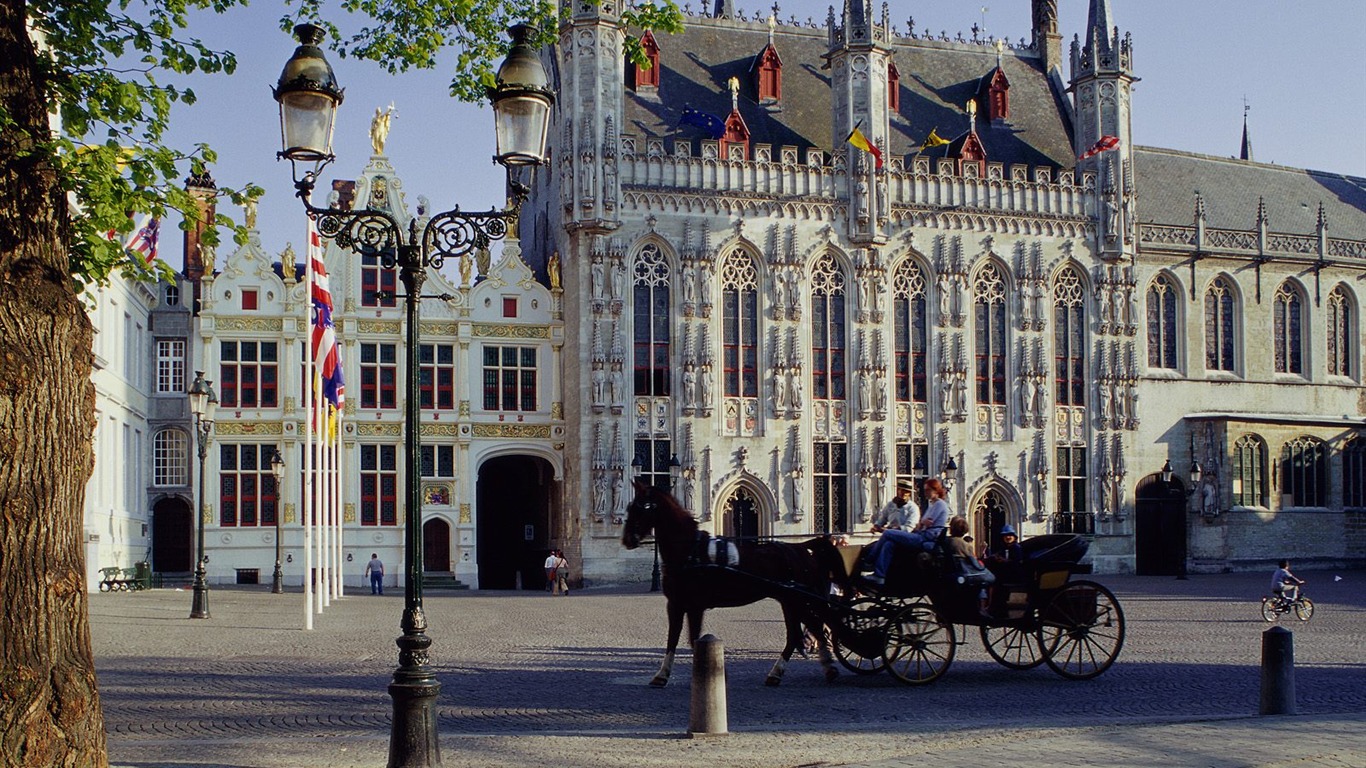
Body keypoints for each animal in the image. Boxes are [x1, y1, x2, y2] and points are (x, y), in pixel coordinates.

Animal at [622, 481, 841, 683]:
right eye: (629, 507)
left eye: (641, 508)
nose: (626, 540)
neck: (690, 551)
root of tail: (803, 548)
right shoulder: (677, 604)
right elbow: (675, 638)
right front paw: (663, 675)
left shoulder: (692, 605)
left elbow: (690, 639)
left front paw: (716, 673)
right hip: (790, 601)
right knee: (800, 633)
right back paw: (783, 673)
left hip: (799, 601)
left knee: (810, 630)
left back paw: (825, 668)